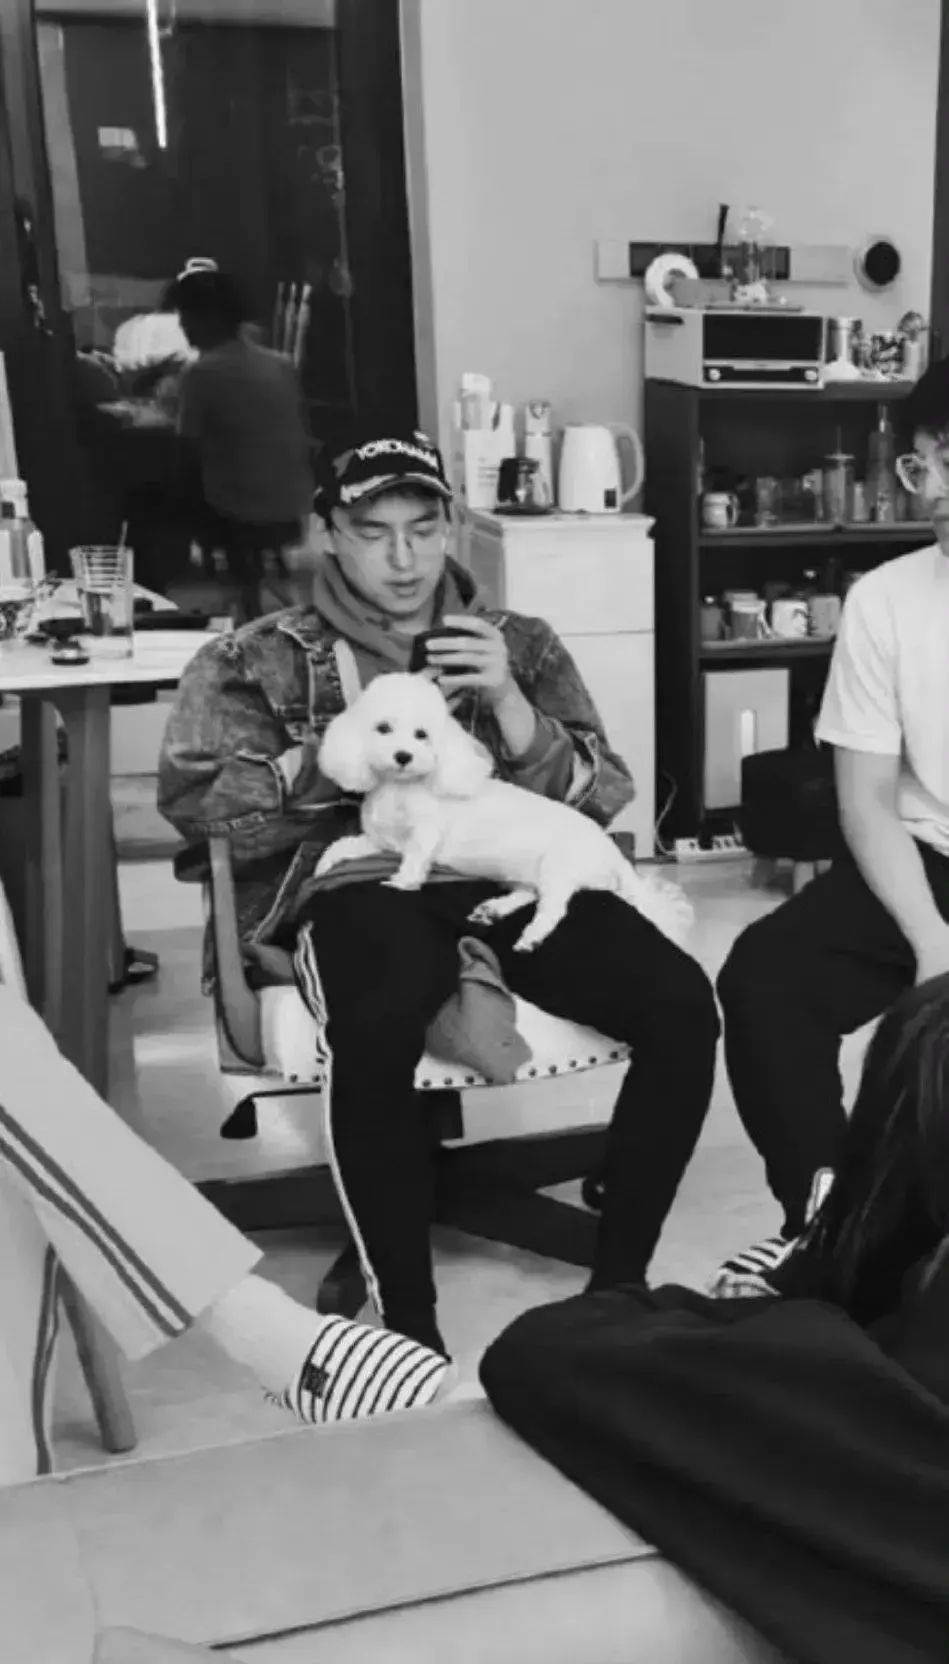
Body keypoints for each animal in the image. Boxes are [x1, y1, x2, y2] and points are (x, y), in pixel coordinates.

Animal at [315, 672, 693, 952]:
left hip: (558, 869)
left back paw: (532, 936)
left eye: (422, 734)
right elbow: (341, 846)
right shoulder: (379, 840)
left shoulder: (424, 835)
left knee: (553, 907)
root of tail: (613, 854)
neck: (399, 789)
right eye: (383, 728)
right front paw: (323, 866)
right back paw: (494, 909)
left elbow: (415, 858)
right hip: (524, 873)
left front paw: (402, 882)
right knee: (529, 892)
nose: (403, 756)